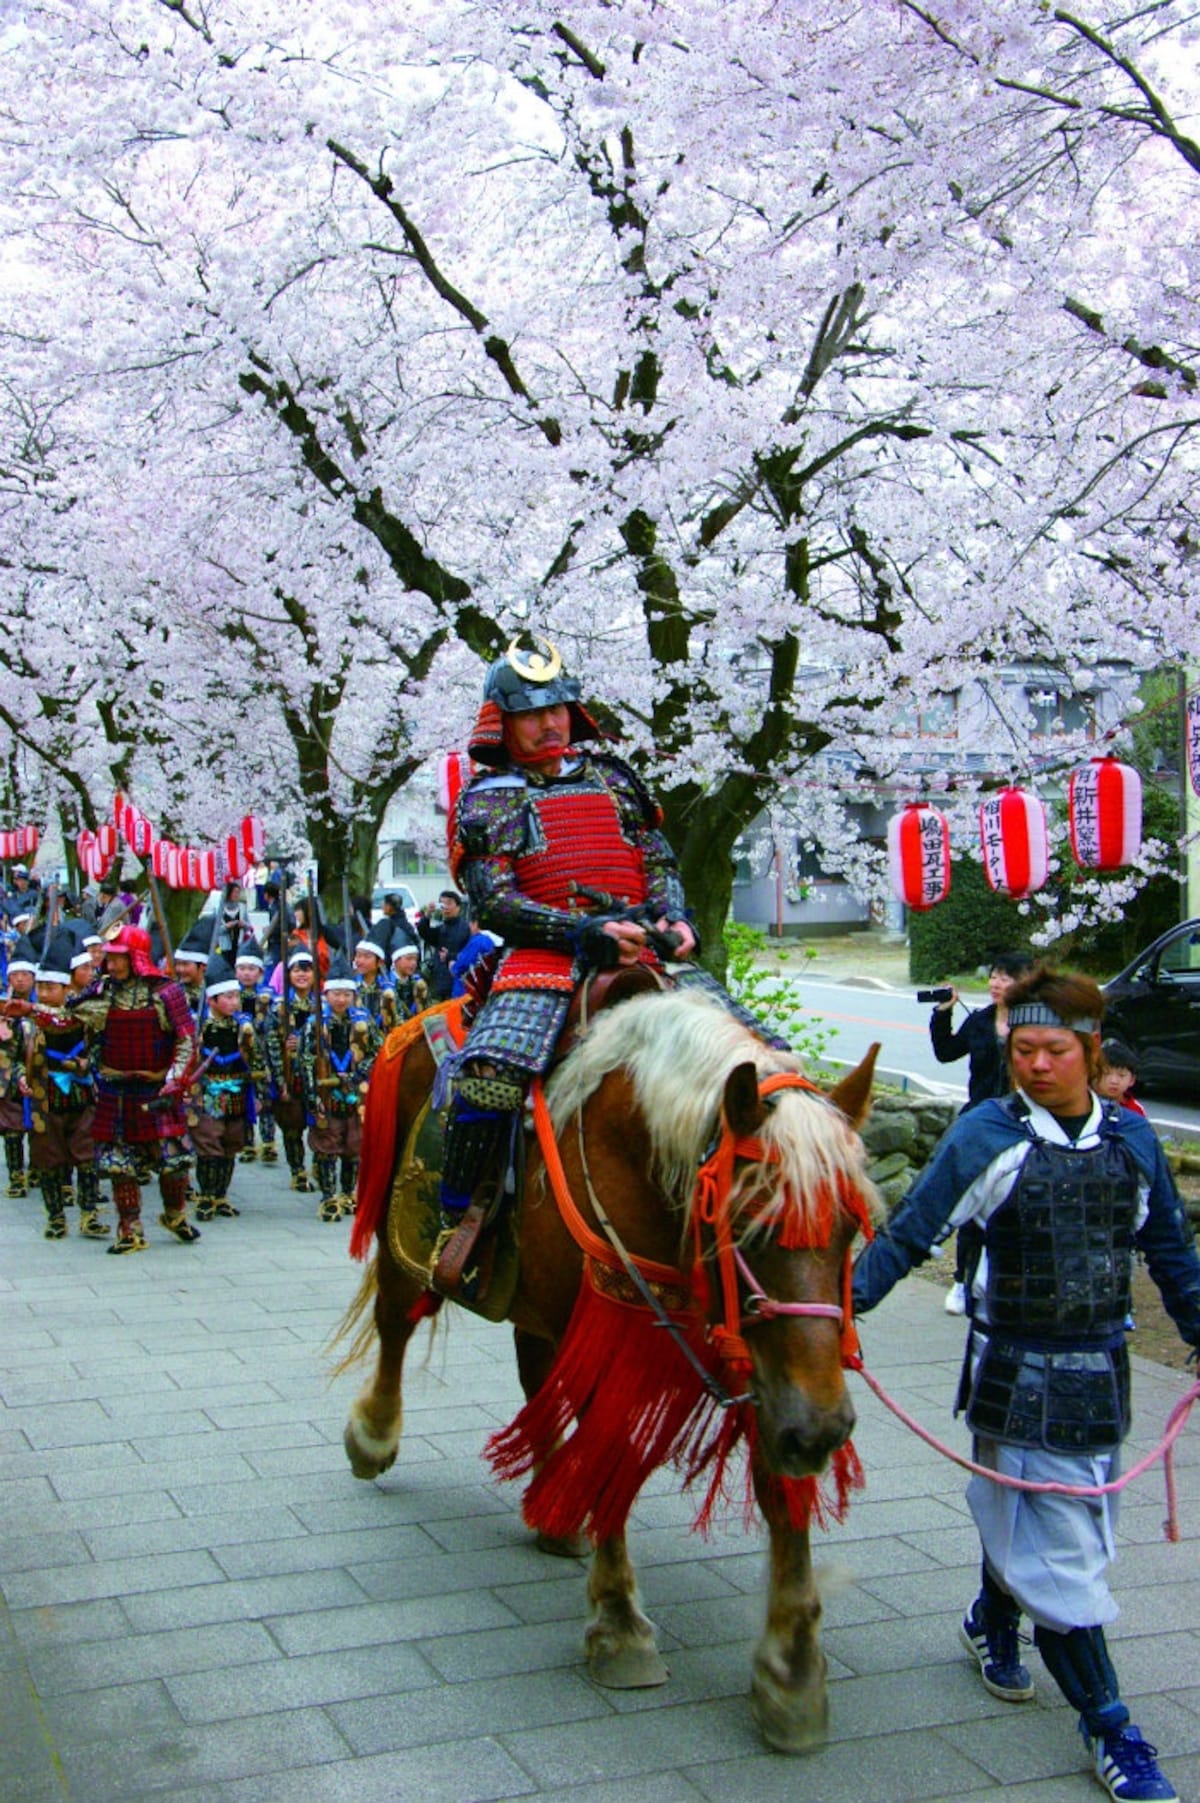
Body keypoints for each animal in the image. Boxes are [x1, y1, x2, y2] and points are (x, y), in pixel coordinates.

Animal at [336, 980, 879, 1752]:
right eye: (747, 1225)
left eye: (850, 1227)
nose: (825, 1432)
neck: (637, 1148)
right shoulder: (615, 1315)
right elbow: (612, 1446)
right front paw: (621, 1625)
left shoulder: (761, 1357)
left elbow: (777, 1483)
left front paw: (792, 1668)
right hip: (400, 1234)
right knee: (395, 1321)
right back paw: (374, 1436)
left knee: (537, 1378)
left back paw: (556, 1508)